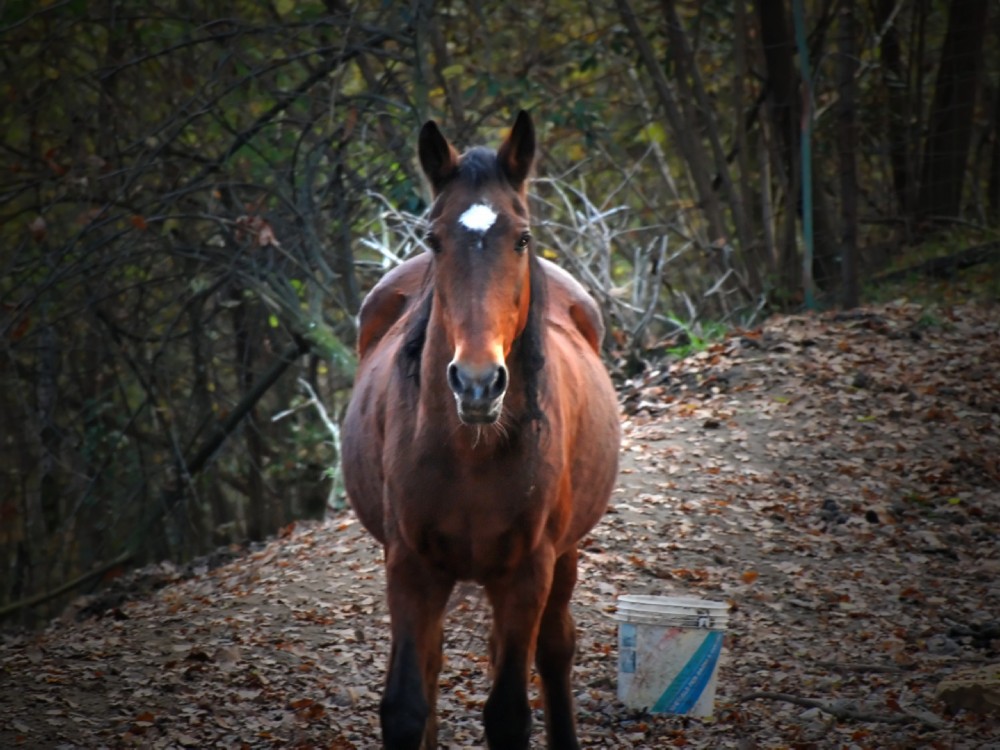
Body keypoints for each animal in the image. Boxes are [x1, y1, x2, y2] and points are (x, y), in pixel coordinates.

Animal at [341, 110, 620, 749]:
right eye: (434, 239)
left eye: (522, 238)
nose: (475, 383)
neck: (470, 455)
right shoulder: (410, 567)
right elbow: (405, 704)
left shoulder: (527, 572)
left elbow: (509, 712)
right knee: (436, 663)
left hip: (562, 557)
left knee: (555, 649)